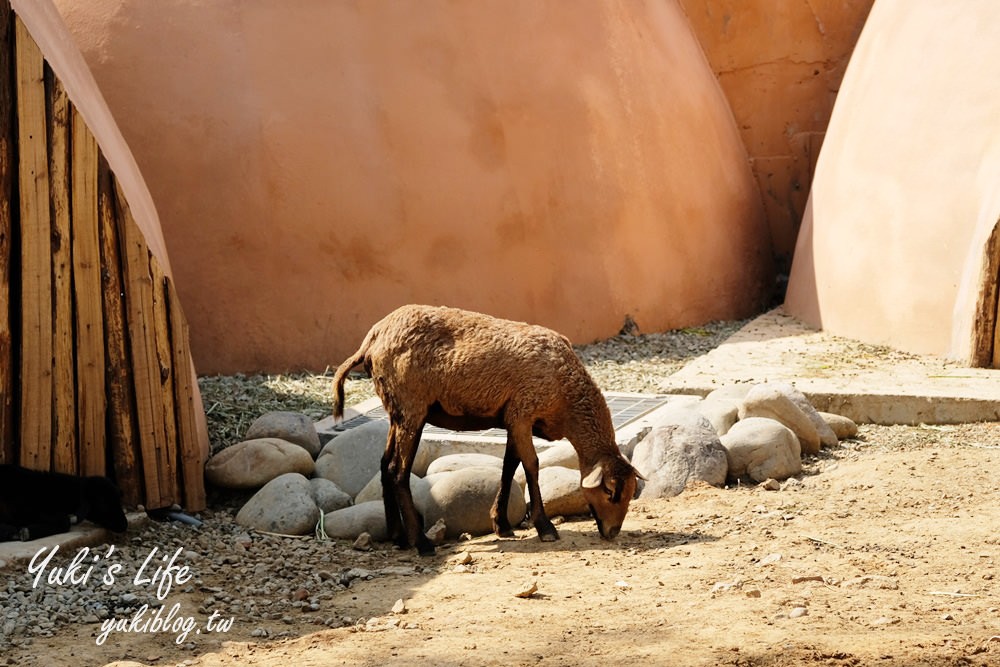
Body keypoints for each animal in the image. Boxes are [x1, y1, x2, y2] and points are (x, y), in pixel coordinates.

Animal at [332, 306, 644, 556]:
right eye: (609, 491)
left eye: (630, 493)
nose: (613, 532)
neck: (565, 396)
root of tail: (373, 338)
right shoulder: (522, 412)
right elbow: (531, 465)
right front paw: (545, 527)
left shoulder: (512, 418)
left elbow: (509, 466)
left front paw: (502, 524)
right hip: (412, 407)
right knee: (398, 471)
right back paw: (421, 543)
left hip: (396, 411)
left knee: (385, 465)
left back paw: (398, 537)